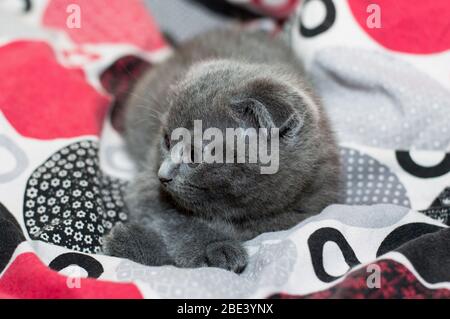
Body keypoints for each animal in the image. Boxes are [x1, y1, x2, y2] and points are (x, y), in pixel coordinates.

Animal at [103, 28, 342, 272]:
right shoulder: (148, 187)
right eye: (167, 141)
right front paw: (215, 248)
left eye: (193, 154)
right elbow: (179, 222)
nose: (163, 174)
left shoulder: (299, 213)